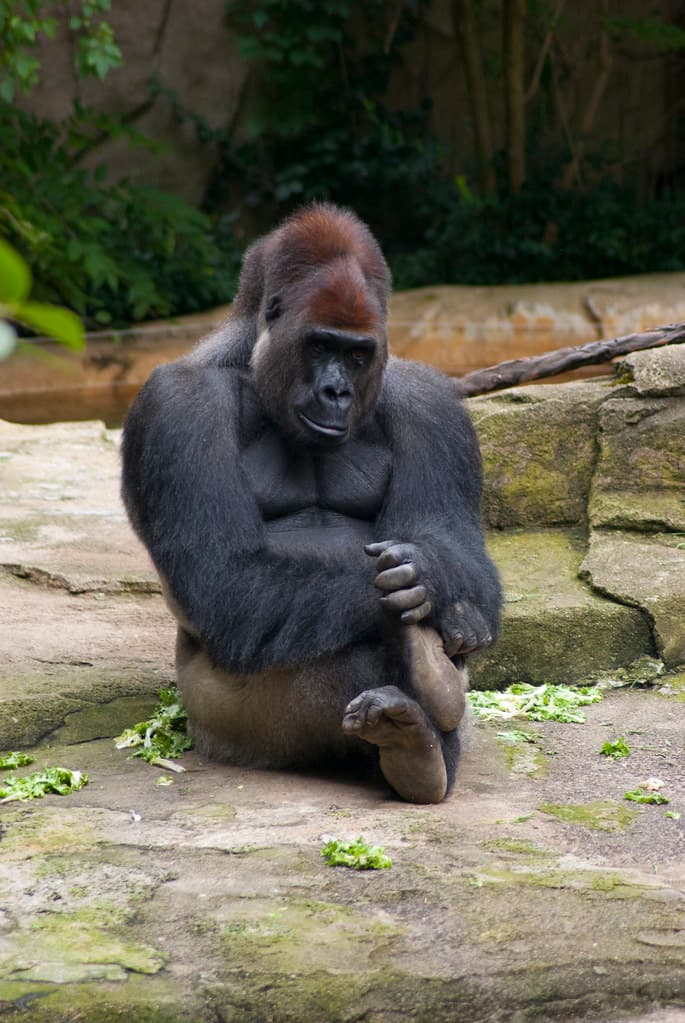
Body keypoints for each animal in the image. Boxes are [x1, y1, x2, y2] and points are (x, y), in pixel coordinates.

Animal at [121, 203, 501, 803]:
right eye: (320, 345)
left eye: (357, 354)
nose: (336, 393)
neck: (250, 359)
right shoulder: (178, 406)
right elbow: (230, 577)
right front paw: (426, 594)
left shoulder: (432, 403)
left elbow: (458, 549)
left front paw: (436, 578)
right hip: (224, 721)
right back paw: (419, 711)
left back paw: (418, 731)